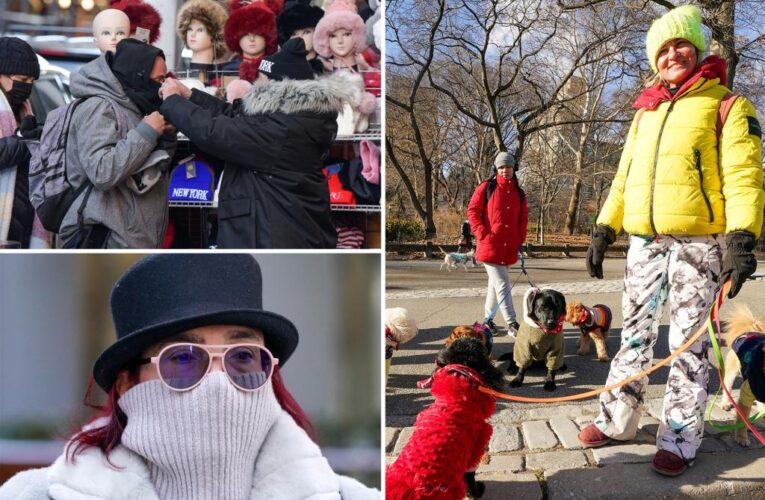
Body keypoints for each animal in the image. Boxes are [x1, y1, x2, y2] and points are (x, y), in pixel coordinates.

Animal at [716, 302, 764, 448]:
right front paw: (741, 437)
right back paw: (725, 404)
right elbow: (742, 419)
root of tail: (751, 330)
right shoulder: (746, 395)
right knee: (727, 388)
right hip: (732, 372)